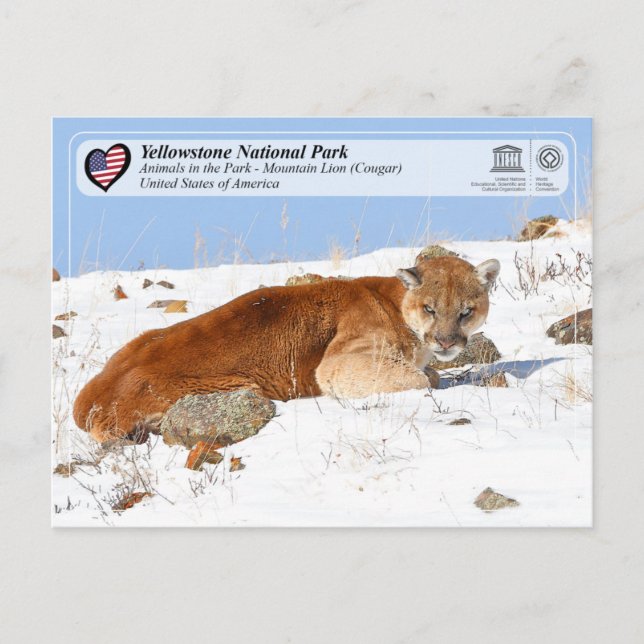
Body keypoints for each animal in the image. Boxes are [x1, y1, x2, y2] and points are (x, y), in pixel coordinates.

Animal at [73, 255, 500, 443]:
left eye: (465, 311)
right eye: (430, 309)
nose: (446, 341)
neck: (395, 303)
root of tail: (88, 400)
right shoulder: (338, 363)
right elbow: (422, 379)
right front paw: (431, 374)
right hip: (239, 387)